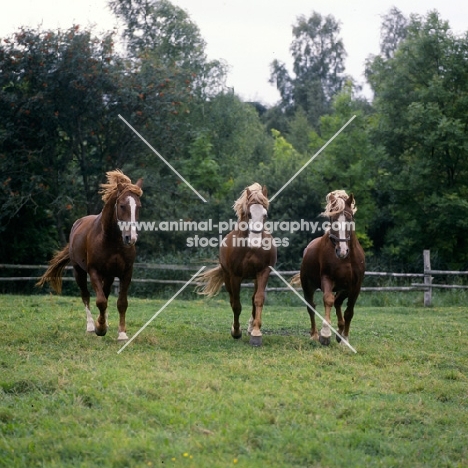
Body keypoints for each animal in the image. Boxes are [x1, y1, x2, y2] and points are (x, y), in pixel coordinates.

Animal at [37, 169, 143, 340]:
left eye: (138, 207)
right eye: (122, 205)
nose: (130, 238)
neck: (112, 240)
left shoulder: (126, 272)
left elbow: (121, 302)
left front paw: (121, 334)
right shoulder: (94, 271)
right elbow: (100, 301)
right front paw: (100, 328)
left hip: (109, 275)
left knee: (105, 293)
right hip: (78, 271)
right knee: (86, 296)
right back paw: (91, 326)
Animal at [197, 183, 278, 348]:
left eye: (265, 215)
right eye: (249, 214)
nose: (255, 241)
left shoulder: (263, 272)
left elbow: (259, 299)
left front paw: (256, 333)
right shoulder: (235, 276)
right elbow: (236, 305)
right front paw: (236, 331)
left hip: (255, 278)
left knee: (253, 298)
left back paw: (252, 326)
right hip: (227, 277)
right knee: (232, 299)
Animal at [292, 190, 366, 348]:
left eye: (350, 218)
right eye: (332, 219)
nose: (342, 250)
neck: (346, 259)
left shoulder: (355, 286)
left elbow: (349, 311)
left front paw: (345, 339)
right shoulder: (327, 278)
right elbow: (328, 300)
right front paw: (325, 335)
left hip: (344, 289)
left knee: (338, 302)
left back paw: (339, 332)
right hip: (308, 286)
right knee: (312, 307)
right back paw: (314, 335)